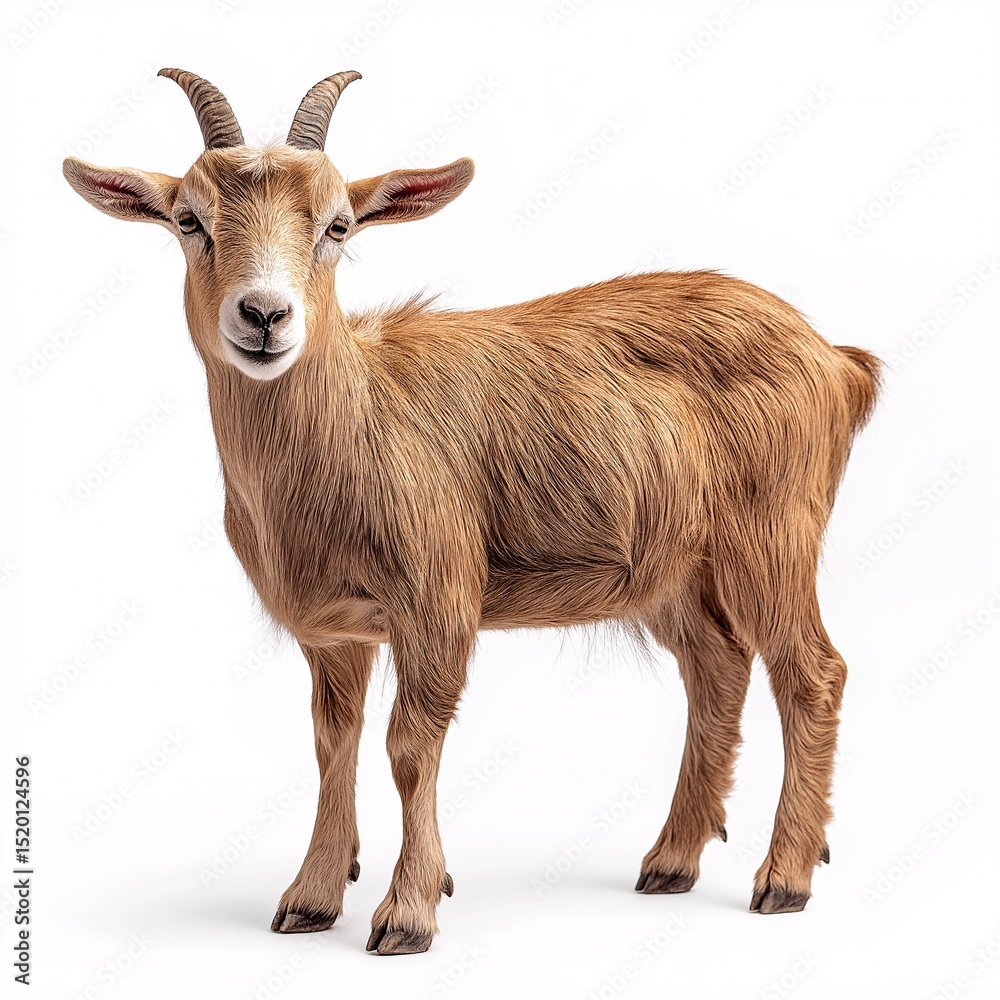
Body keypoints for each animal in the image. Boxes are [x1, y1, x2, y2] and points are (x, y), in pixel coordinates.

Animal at [63, 68, 880, 955]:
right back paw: (670, 861)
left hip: (773, 532)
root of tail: (836, 359)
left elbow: (409, 746)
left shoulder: (438, 596)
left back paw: (785, 877)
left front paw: (408, 912)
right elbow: (332, 743)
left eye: (337, 225)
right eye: (190, 221)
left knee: (812, 671)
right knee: (719, 669)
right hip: (672, 570)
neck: (357, 422)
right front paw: (311, 898)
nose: (265, 315)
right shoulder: (334, 629)